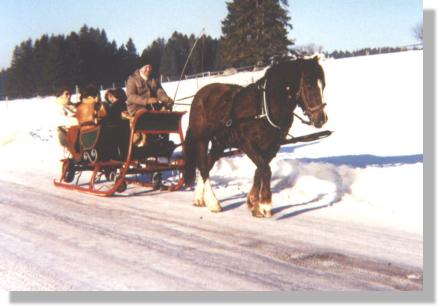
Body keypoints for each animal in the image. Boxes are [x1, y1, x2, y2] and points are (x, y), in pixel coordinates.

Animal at [182, 55, 328, 218]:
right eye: (309, 86)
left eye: (323, 85)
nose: (321, 119)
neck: (265, 107)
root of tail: (200, 94)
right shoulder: (248, 144)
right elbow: (265, 170)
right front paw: (265, 205)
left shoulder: (272, 147)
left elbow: (260, 170)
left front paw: (253, 202)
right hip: (202, 139)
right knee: (202, 166)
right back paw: (213, 202)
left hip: (219, 143)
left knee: (207, 164)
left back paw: (199, 198)